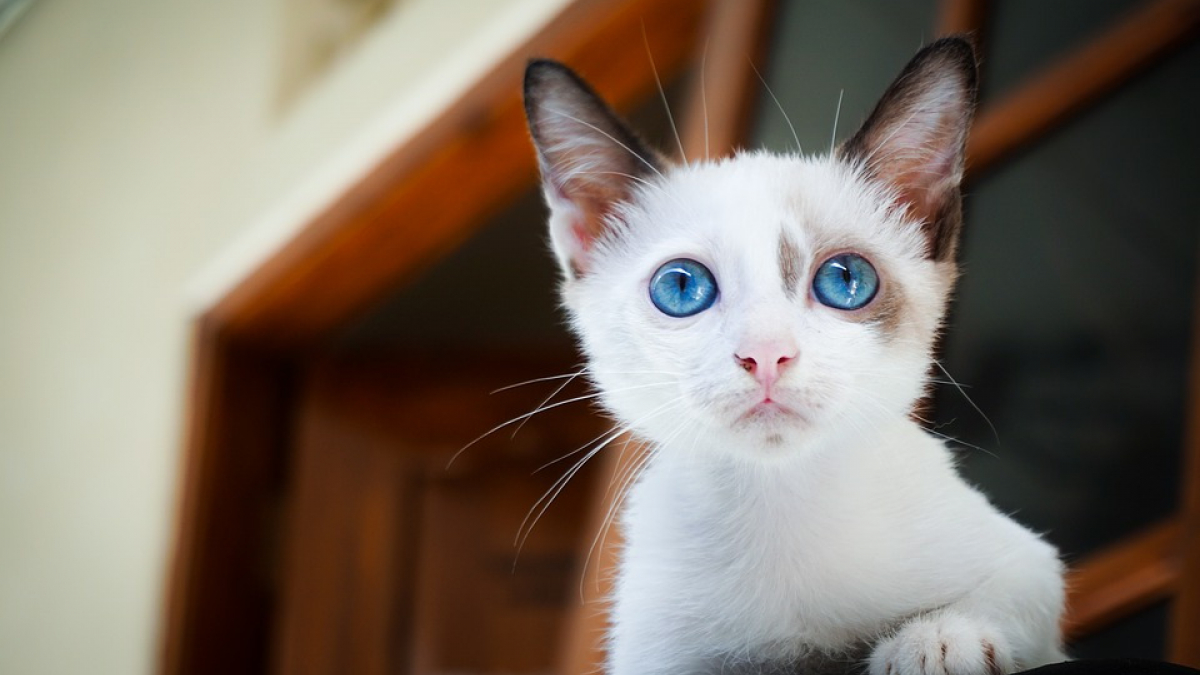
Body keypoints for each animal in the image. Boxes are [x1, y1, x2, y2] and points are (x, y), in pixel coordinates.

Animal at [520, 36, 1065, 672]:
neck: (780, 503)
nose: (765, 355)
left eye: (845, 280)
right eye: (681, 287)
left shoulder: (1028, 562)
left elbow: (1017, 597)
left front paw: (937, 643)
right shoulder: (655, 654)